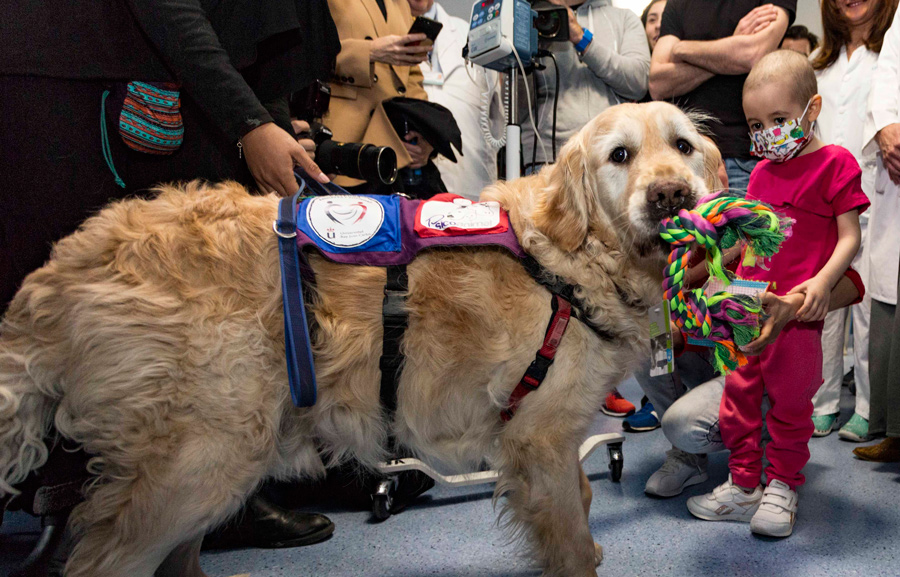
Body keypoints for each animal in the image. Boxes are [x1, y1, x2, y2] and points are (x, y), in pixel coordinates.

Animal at [0, 101, 716, 572]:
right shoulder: (538, 439)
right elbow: (570, 536)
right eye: (619, 156)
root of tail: (65, 264)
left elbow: (586, 498)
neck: (572, 258)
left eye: (682, 147)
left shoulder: (554, 439)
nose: (671, 196)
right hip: (198, 464)